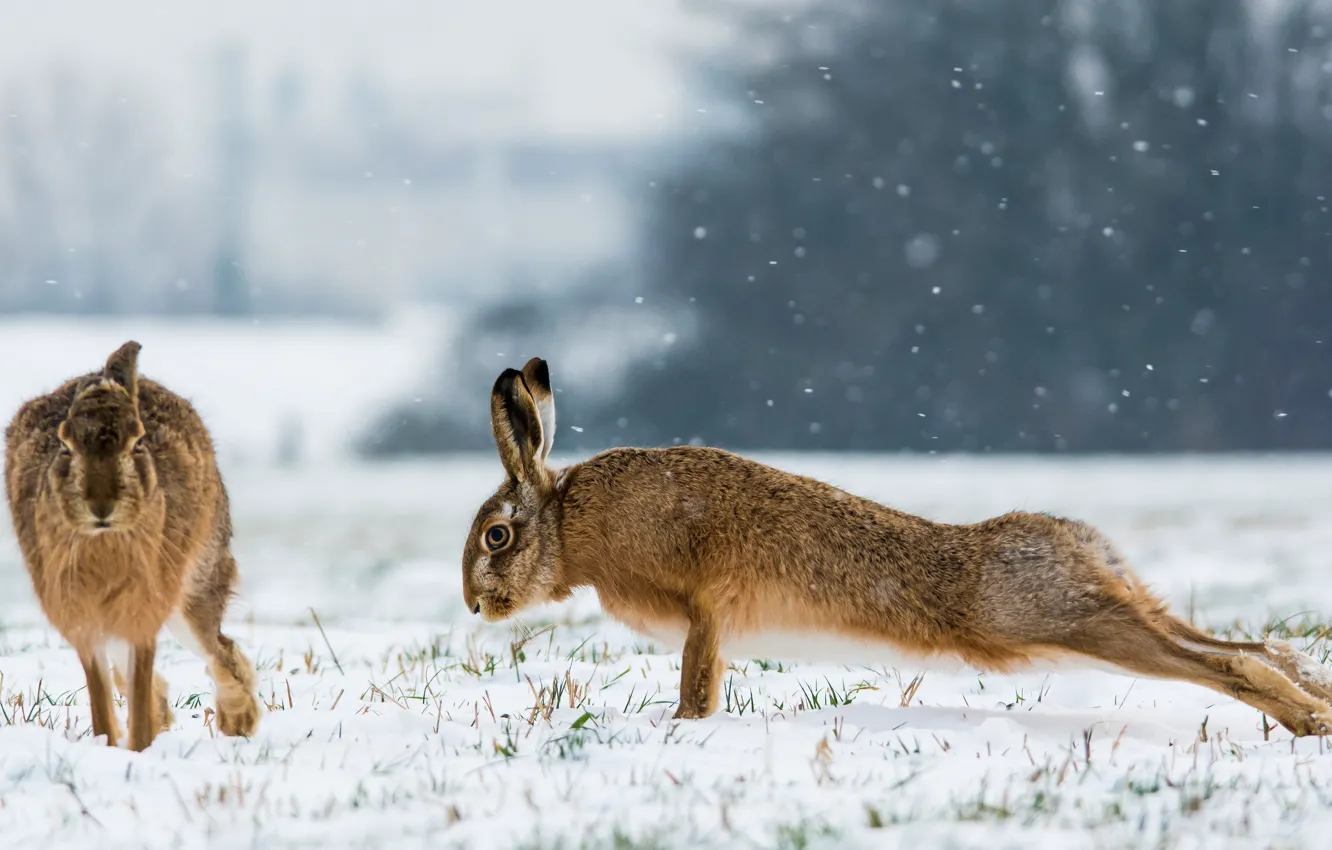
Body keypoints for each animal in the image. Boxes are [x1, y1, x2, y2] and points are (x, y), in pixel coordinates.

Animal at [4, 341, 260, 751]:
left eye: (138, 441)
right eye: (64, 444)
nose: (101, 506)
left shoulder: (145, 606)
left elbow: (138, 682)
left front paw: (138, 748)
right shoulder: (82, 617)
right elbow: (100, 695)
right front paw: (112, 747)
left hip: (193, 588)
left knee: (217, 647)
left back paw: (238, 720)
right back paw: (169, 715)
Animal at [462, 357, 1332, 736]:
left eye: (497, 535)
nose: (475, 605)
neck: (572, 523)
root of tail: (1086, 546)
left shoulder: (703, 611)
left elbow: (697, 680)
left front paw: (683, 725)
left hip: (1051, 621)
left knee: (1232, 665)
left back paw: (1306, 724)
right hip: (1100, 614)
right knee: (1254, 646)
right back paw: (1314, 701)